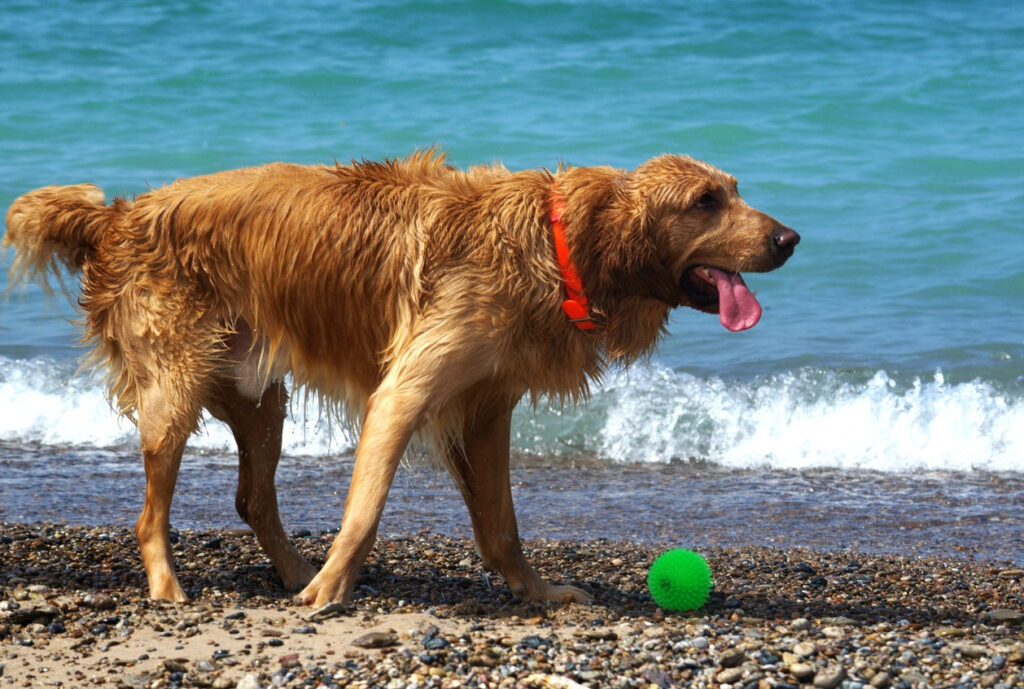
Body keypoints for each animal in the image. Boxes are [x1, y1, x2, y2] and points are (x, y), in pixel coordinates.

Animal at [4, 153, 794, 606]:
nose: (790, 238)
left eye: (733, 191)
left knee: (252, 496)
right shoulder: (404, 391)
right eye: (705, 201)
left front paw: (537, 591)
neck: (556, 245)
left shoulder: (486, 409)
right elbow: (365, 511)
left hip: (259, 395)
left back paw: (292, 572)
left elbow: (501, 525)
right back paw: (173, 587)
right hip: (176, 385)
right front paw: (332, 590)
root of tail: (115, 215)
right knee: (151, 514)